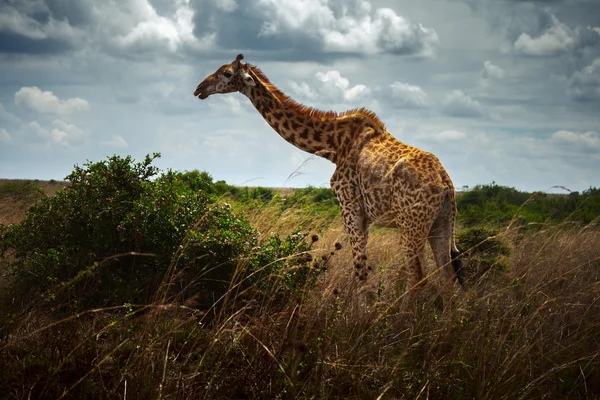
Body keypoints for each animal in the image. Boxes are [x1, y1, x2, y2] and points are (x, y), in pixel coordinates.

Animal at [192, 54, 464, 310]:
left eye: (227, 73)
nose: (199, 89)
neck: (333, 145)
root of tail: (446, 184)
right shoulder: (363, 215)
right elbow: (361, 271)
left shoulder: (350, 208)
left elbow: (359, 271)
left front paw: (357, 320)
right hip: (441, 222)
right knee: (447, 276)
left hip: (411, 224)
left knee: (418, 276)